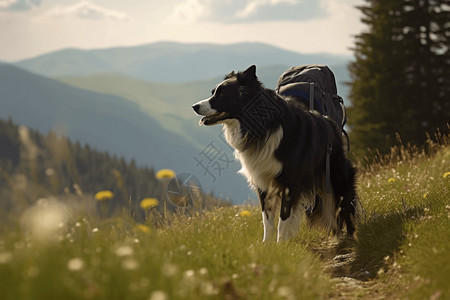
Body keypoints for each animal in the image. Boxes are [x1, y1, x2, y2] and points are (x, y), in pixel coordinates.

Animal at [192, 65, 358, 241]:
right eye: (213, 92)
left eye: (221, 94)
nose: (194, 106)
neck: (261, 126)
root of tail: (332, 125)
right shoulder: (263, 180)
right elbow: (267, 219)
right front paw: (267, 245)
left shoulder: (291, 182)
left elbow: (283, 220)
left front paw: (281, 244)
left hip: (338, 178)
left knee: (343, 208)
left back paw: (348, 237)